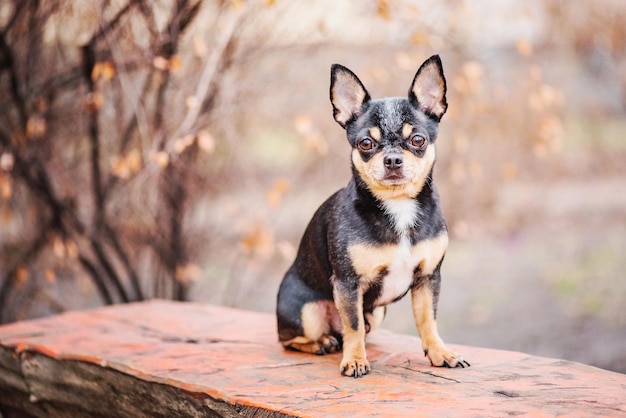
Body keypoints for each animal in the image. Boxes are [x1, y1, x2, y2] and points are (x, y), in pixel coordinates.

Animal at [274, 54, 468, 378]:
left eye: (418, 140)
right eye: (366, 144)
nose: (392, 159)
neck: (398, 205)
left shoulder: (428, 280)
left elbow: (427, 320)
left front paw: (439, 352)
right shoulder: (348, 285)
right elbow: (352, 325)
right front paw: (355, 360)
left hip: (376, 312)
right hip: (306, 311)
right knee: (294, 339)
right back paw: (322, 343)